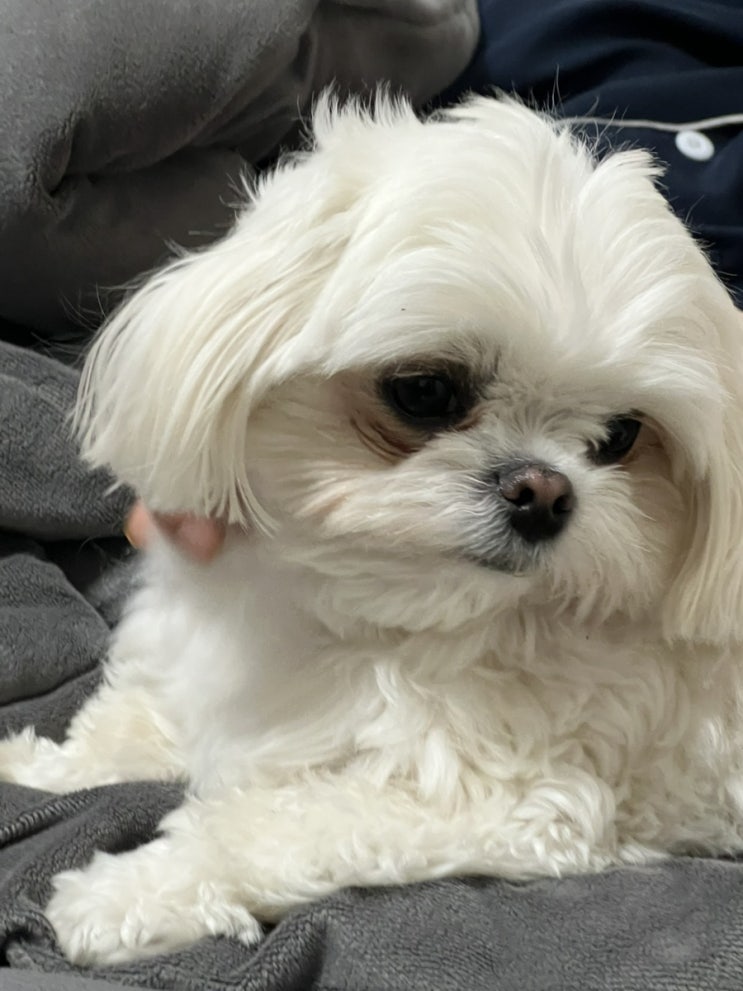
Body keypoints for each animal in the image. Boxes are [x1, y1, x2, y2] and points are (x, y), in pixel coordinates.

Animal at [3, 95, 743, 966]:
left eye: (622, 434)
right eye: (424, 390)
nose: (544, 492)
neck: (358, 613)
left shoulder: (504, 801)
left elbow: (267, 826)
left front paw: (127, 892)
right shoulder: (187, 671)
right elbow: (121, 730)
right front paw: (36, 766)